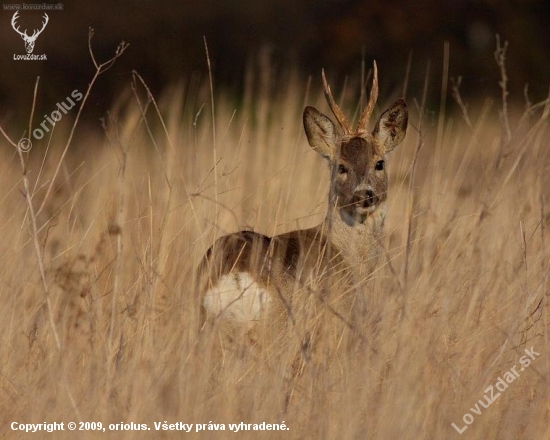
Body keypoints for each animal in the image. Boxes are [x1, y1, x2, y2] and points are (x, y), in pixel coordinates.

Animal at [198, 62, 410, 350]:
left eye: (379, 163)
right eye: (341, 166)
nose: (364, 195)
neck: (348, 257)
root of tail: (234, 277)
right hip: (278, 330)